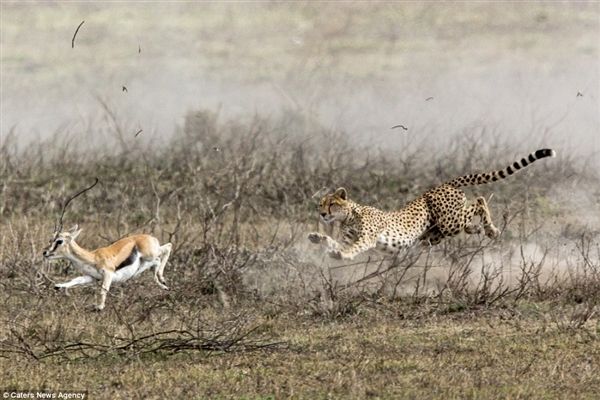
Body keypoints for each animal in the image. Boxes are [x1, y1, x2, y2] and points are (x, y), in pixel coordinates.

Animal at [310, 148, 556, 260]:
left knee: (478, 200)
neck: (349, 216)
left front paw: (343, 255)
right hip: (436, 233)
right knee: (469, 216)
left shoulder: (367, 238)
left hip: (448, 222)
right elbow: (334, 242)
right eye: (320, 205)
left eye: (331, 204)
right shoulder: (346, 236)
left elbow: (353, 247)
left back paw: (491, 230)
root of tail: (442, 184)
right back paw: (477, 228)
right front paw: (317, 238)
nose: (322, 214)